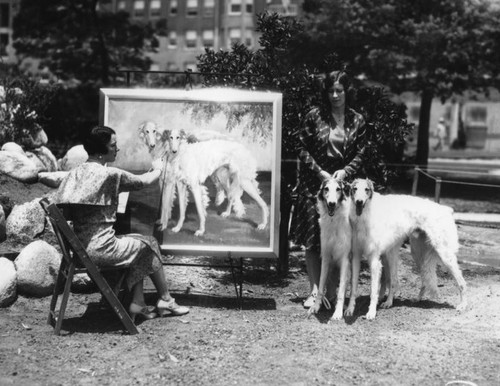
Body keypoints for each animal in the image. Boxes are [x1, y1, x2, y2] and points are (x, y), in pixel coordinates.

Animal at [306, 177, 354, 320]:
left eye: (338, 189)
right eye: (326, 189)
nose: (331, 204)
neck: (334, 222)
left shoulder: (345, 259)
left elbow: (342, 290)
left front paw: (337, 313)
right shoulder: (326, 257)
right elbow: (321, 284)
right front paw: (315, 307)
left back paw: (348, 308)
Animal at [346, 178, 466, 320]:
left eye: (366, 189)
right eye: (354, 189)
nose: (359, 202)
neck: (365, 216)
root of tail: (447, 209)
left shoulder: (375, 260)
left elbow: (374, 291)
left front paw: (371, 313)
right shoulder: (357, 257)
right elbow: (354, 288)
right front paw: (349, 310)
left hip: (444, 255)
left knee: (462, 282)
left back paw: (463, 305)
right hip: (418, 254)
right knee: (424, 280)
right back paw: (417, 299)